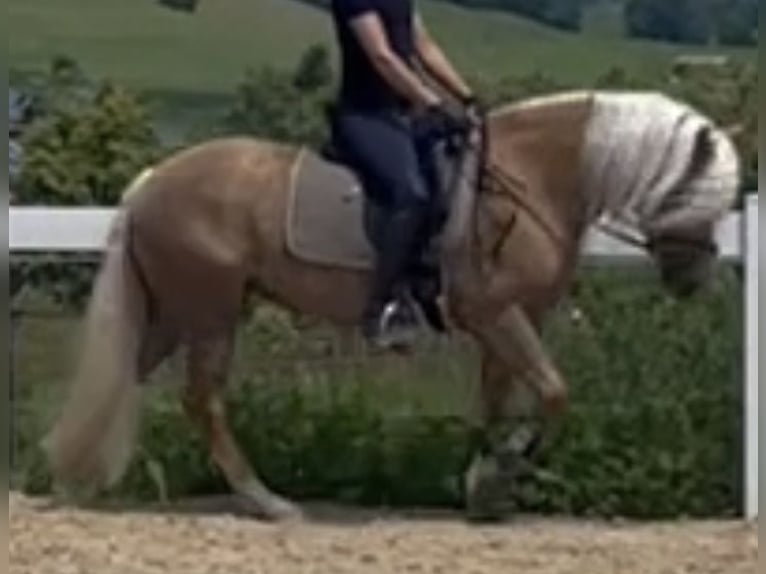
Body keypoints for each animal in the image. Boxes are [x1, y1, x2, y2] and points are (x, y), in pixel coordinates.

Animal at [43, 90, 744, 520]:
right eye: (701, 191)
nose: (693, 277)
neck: (528, 179)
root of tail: (152, 181)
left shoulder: (512, 320)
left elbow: (499, 403)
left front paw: (485, 487)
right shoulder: (495, 314)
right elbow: (552, 394)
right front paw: (500, 474)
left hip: (177, 311)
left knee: (125, 376)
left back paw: (74, 479)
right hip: (210, 314)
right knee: (202, 400)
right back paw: (268, 502)